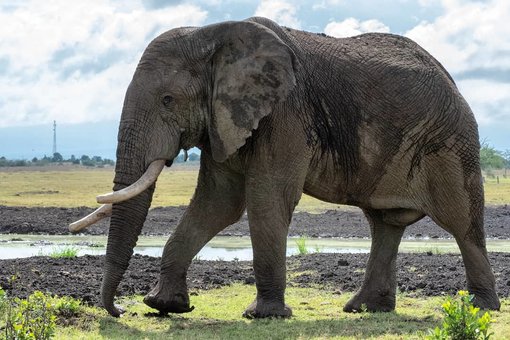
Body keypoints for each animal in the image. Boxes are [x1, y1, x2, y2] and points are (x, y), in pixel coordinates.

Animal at [71, 16, 502, 318]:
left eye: (167, 100)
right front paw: (165, 306)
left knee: (462, 223)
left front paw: (263, 316)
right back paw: (363, 309)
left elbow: (265, 199)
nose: (119, 310)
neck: (214, 35)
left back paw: (481, 308)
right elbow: (217, 204)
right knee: (384, 224)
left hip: (451, 141)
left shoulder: (286, 114)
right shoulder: (225, 120)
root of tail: (451, 79)